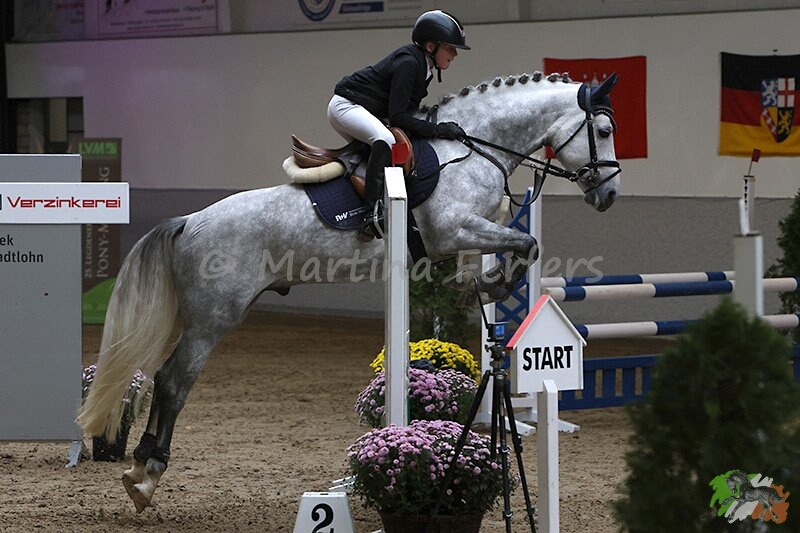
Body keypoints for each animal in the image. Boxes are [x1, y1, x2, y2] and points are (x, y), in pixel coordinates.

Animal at [77, 71, 621, 512]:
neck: (473, 147)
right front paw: (487, 289)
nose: (609, 194)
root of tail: (190, 221)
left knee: (162, 379)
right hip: (213, 319)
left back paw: (139, 471)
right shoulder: (454, 229)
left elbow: (515, 246)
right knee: (173, 382)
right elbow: (525, 244)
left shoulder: (465, 235)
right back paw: (145, 476)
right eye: (604, 131)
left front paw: (482, 289)